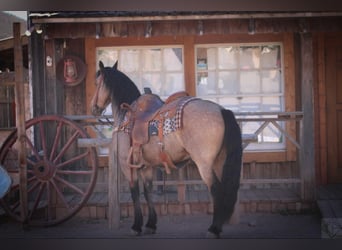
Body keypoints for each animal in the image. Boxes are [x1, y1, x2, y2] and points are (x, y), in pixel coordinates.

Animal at [89, 60, 242, 238]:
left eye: (97, 83)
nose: (94, 108)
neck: (126, 117)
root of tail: (222, 111)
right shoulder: (146, 167)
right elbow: (148, 191)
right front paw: (150, 224)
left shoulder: (128, 166)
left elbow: (134, 192)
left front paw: (136, 226)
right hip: (219, 162)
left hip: (205, 164)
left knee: (216, 189)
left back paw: (213, 229)